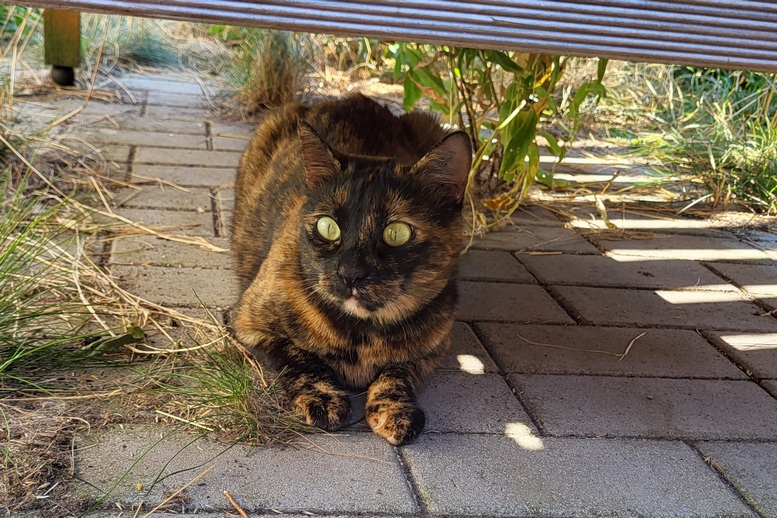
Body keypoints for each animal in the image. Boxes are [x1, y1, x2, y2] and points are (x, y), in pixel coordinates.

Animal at [231, 93, 471, 445]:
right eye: (327, 226)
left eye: (397, 233)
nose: (350, 274)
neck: (364, 335)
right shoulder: (248, 323)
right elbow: (299, 358)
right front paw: (323, 397)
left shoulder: (434, 348)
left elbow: (398, 372)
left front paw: (394, 410)